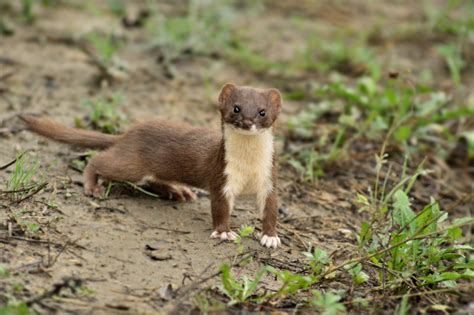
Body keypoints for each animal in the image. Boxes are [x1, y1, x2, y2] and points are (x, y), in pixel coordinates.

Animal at [19, 83, 282, 249]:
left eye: (262, 112)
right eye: (236, 108)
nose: (247, 122)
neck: (248, 166)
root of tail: (129, 133)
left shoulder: (269, 179)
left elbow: (271, 209)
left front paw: (270, 237)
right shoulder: (221, 177)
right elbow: (219, 207)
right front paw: (224, 232)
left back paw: (178, 191)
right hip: (130, 165)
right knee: (98, 160)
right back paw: (92, 186)